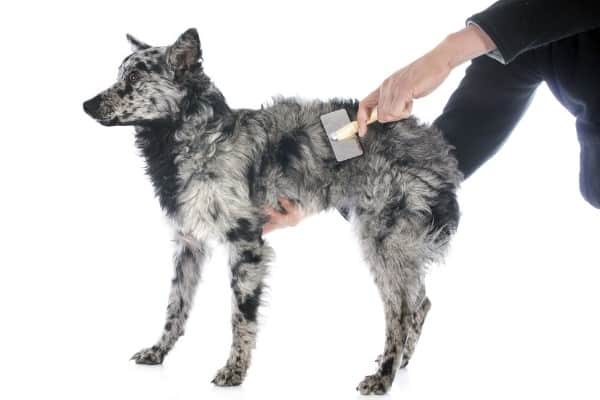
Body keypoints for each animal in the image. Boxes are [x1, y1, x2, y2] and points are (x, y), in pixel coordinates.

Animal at [82, 28, 462, 396]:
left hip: (381, 240)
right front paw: (158, 351)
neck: (199, 138)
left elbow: (241, 316)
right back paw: (399, 362)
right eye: (120, 74)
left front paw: (234, 370)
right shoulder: (189, 243)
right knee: (421, 301)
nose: (86, 104)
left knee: (401, 311)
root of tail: (436, 147)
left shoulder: (246, 243)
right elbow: (176, 305)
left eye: (134, 77)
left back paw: (383, 377)